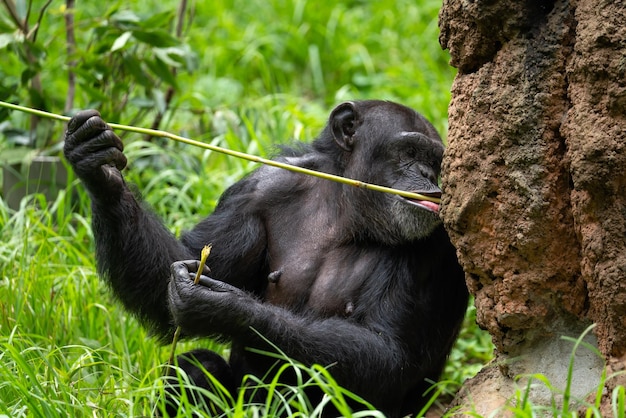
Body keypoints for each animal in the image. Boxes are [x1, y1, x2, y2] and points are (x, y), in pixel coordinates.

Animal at [63, 99, 468, 416]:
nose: (428, 175)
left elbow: (389, 352)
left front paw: (224, 308)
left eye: (435, 160)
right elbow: (176, 272)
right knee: (192, 370)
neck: (347, 209)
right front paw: (100, 169)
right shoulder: (255, 191)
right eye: (410, 153)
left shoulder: (438, 246)